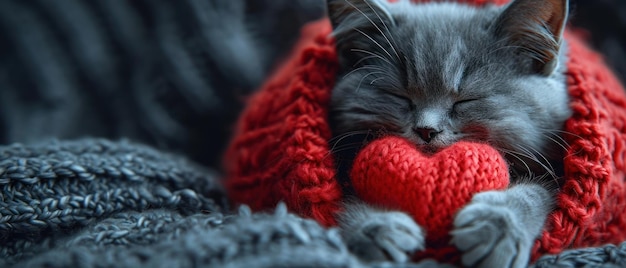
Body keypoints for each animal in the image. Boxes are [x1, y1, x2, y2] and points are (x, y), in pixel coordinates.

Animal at [326, 0, 572, 266]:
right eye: (399, 96)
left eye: (466, 100)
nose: (426, 129)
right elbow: (342, 200)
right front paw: (375, 228)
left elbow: (541, 191)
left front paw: (498, 224)